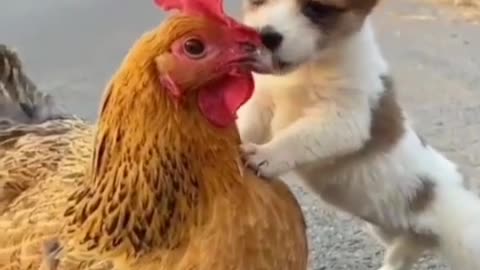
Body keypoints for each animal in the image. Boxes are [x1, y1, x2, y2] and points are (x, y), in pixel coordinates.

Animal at [240, 0, 480, 270]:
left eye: (317, 9)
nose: (265, 35)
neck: (309, 68)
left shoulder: (344, 120)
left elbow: (297, 138)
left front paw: (266, 155)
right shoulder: (262, 104)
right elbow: (246, 124)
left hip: (466, 240)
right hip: (390, 231)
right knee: (402, 254)